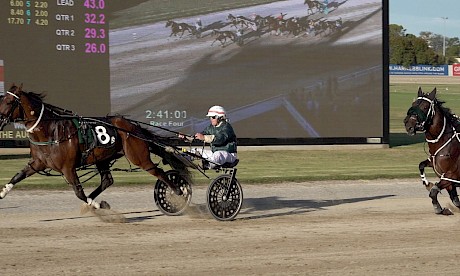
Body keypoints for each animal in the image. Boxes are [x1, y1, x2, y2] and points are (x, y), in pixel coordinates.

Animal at [0, 84, 190, 209]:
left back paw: (179, 191)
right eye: (2, 99)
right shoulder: (38, 163)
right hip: (103, 158)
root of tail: (133, 127)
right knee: (107, 180)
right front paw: (2, 193)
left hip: (139, 157)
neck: (51, 131)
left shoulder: (68, 168)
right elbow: (17, 176)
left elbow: (78, 192)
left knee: (159, 173)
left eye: (9, 102)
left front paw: (97, 204)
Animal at [402, 88, 460, 216]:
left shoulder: (451, 175)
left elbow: (434, 191)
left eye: (425, 107)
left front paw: (439, 208)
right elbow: (421, 165)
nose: (408, 124)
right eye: (413, 104)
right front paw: (427, 183)